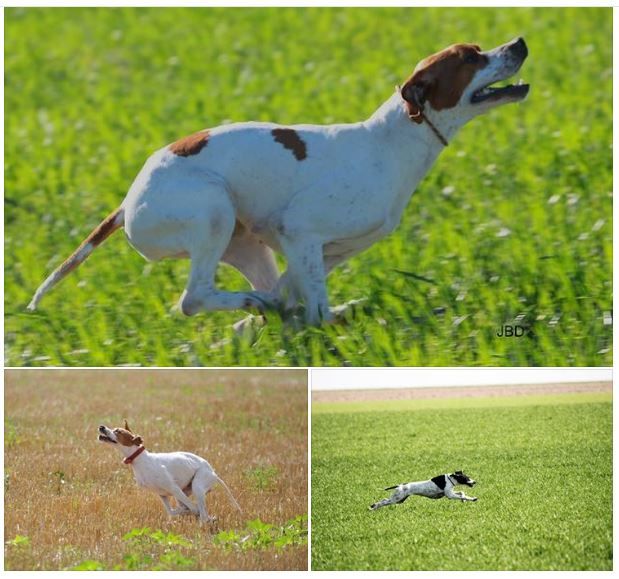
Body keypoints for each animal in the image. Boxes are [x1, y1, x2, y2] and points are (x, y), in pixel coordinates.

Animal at [98, 422, 241, 524]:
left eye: (118, 431)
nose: (101, 426)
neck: (140, 460)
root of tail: (213, 473)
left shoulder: (173, 488)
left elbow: (193, 508)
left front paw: (191, 512)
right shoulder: (162, 494)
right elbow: (172, 511)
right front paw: (183, 512)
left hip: (197, 486)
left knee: (202, 514)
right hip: (185, 492)